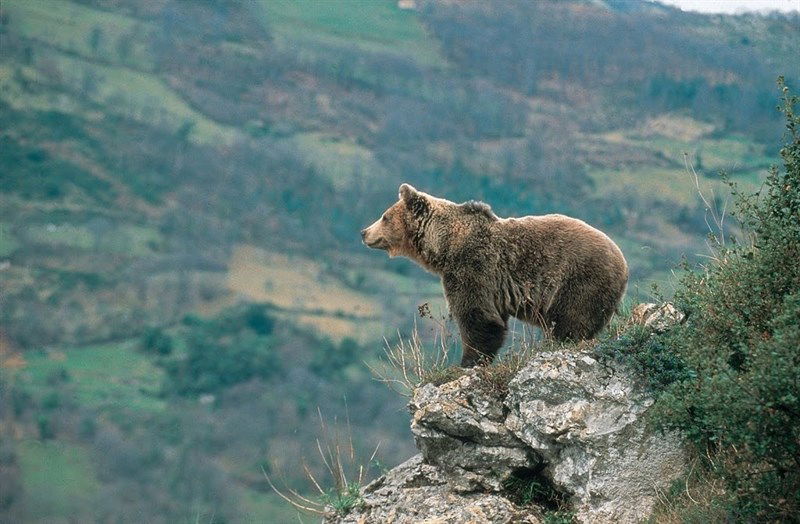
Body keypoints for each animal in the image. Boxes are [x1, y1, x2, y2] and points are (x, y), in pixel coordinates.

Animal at [360, 184, 628, 368]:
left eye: (384, 216)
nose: (363, 232)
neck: (445, 246)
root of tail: (623, 263)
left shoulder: (473, 267)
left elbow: (477, 316)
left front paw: (467, 362)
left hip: (580, 280)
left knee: (572, 321)